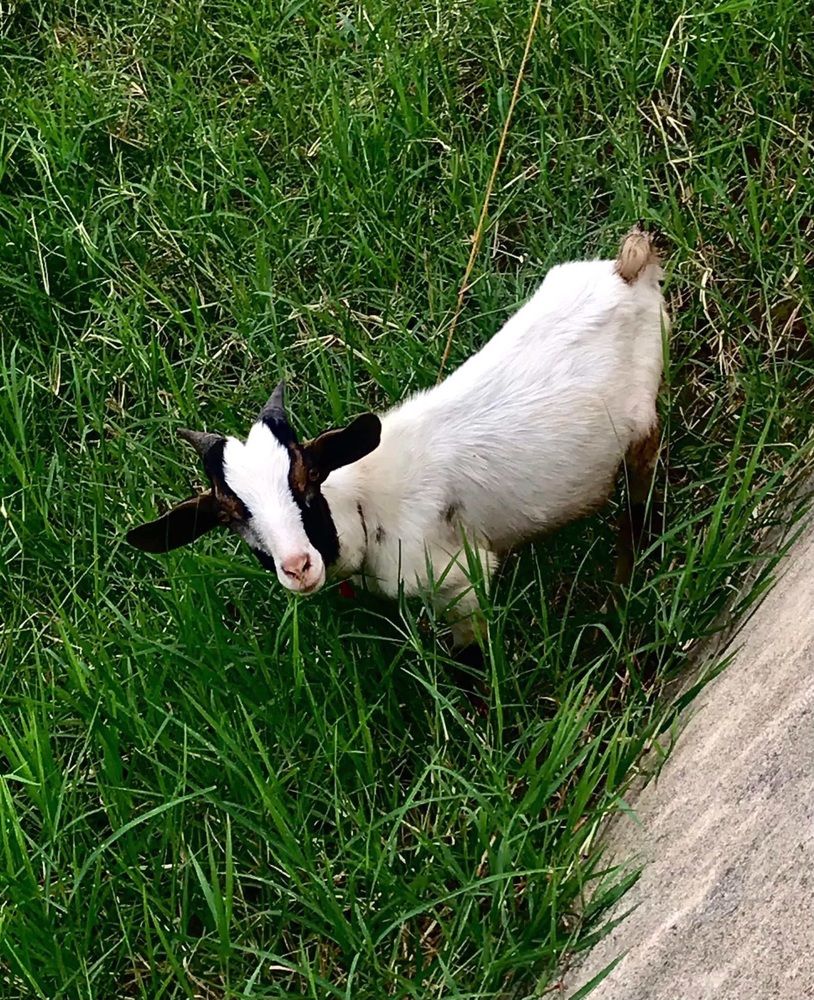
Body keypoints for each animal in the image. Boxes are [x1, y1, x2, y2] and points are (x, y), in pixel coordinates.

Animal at [127, 227, 667, 648]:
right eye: (230, 516)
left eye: (307, 482)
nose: (298, 566)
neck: (364, 506)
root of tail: (626, 270)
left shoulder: (458, 582)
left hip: (641, 427)